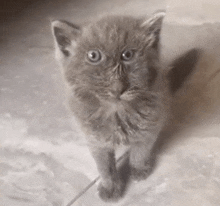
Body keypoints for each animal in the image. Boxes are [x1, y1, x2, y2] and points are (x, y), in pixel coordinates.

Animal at [51, 11, 168, 201]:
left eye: (128, 55)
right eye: (93, 56)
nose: (118, 88)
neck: (117, 112)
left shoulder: (152, 122)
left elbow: (140, 150)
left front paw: (138, 169)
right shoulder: (94, 138)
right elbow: (104, 166)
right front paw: (110, 187)